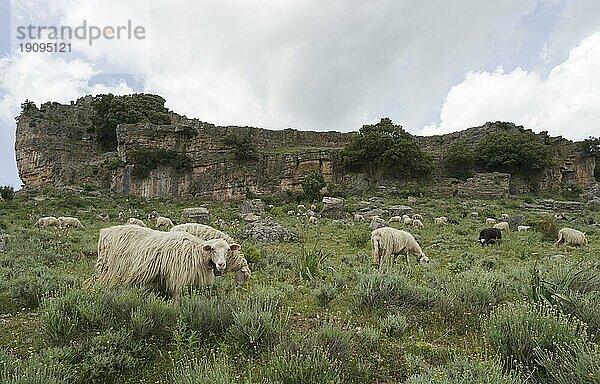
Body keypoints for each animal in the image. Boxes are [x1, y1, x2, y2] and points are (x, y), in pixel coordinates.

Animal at [91, 224, 239, 298]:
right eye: (213, 249)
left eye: (228, 250)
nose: (221, 265)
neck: (197, 253)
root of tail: (105, 231)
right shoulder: (178, 278)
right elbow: (177, 298)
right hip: (108, 270)